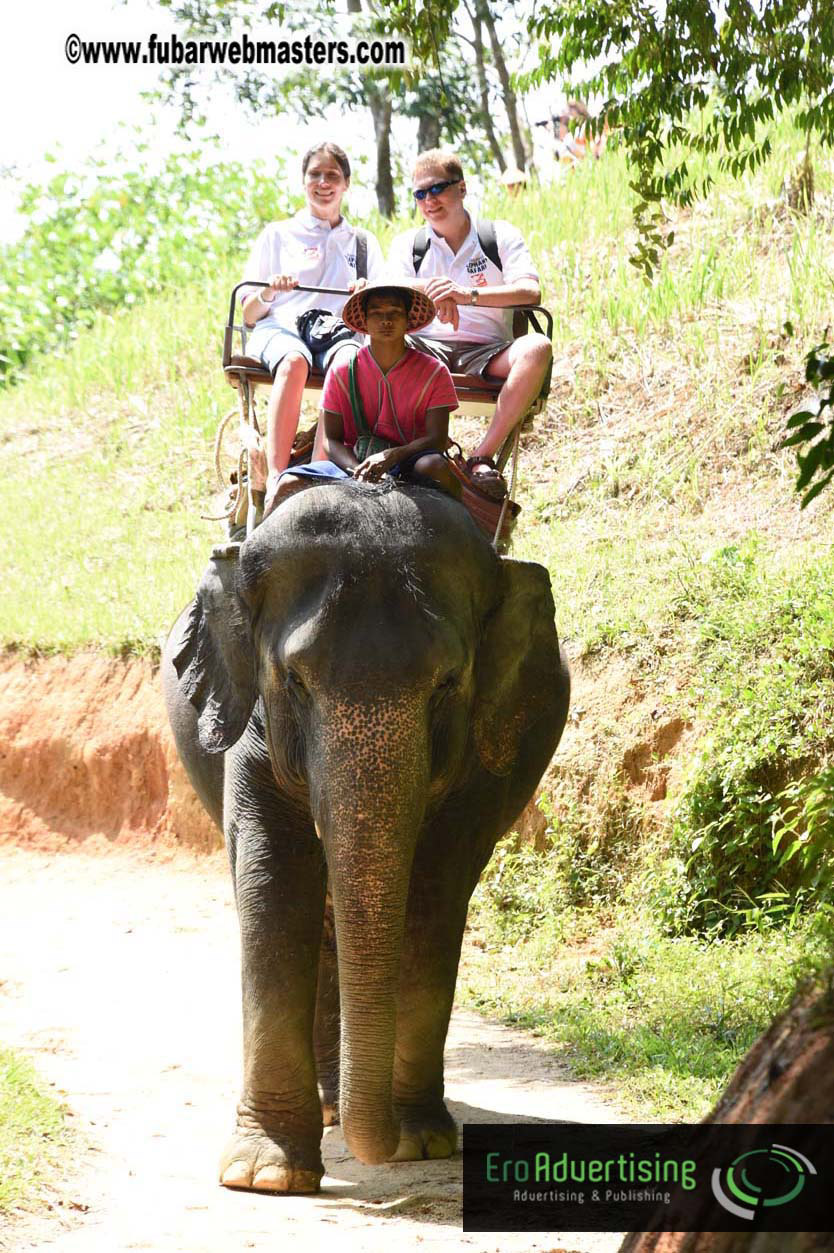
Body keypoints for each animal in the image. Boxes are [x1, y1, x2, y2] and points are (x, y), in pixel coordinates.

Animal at [161, 478, 570, 1194]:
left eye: (448, 685)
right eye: (295, 682)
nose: (389, 1146)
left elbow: (435, 890)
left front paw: (422, 1143)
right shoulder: (251, 731)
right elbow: (272, 881)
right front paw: (265, 1176)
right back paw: (329, 1111)